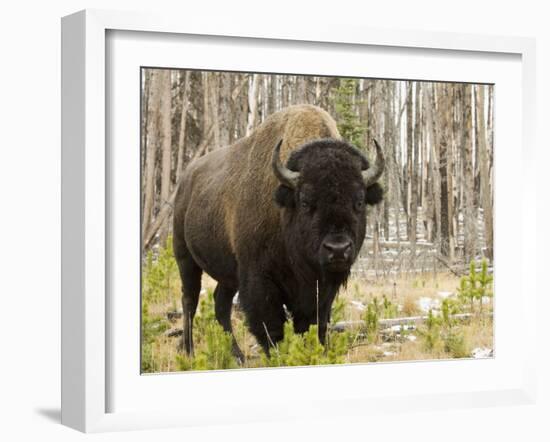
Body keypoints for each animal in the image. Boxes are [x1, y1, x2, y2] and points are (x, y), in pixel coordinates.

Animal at [175, 105, 386, 360]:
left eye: (359, 201)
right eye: (305, 202)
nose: (338, 249)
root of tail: (185, 180)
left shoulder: (321, 292)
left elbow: (313, 325)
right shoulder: (259, 281)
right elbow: (271, 327)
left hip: (228, 274)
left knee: (220, 303)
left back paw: (237, 355)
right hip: (185, 258)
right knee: (190, 300)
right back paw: (189, 352)